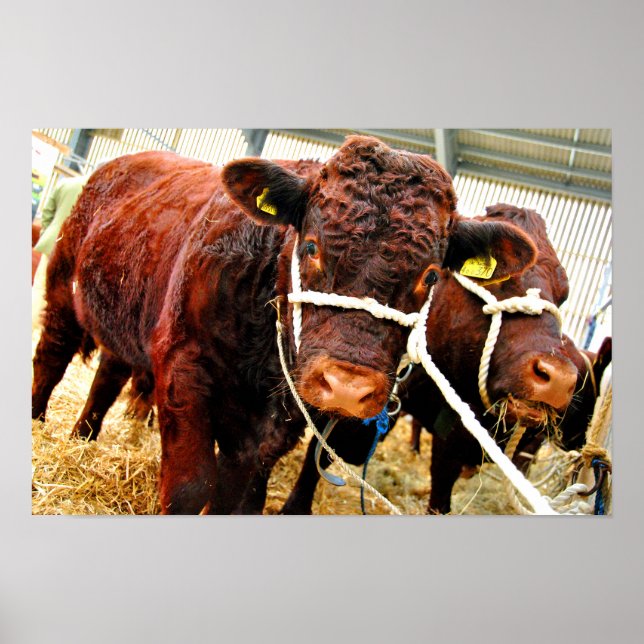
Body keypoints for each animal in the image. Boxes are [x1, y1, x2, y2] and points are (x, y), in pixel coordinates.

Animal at [32, 137, 538, 514]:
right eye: (311, 246)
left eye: (431, 276)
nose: (347, 386)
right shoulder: (183, 367)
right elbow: (191, 486)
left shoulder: (277, 422)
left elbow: (231, 494)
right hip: (62, 285)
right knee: (51, 358)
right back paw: (39, 424)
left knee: (108, 374)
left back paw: (83, 438)